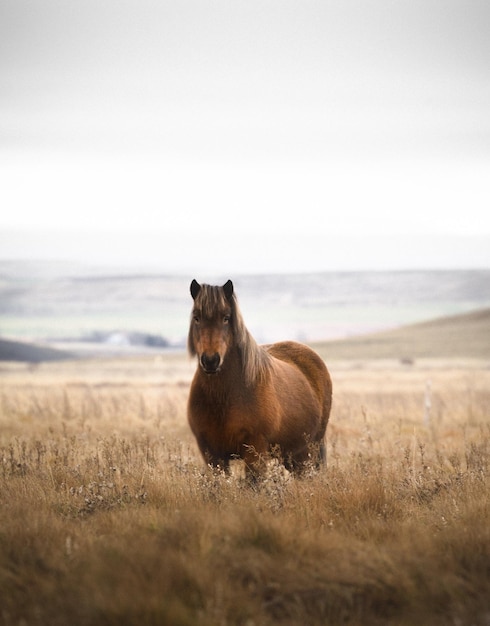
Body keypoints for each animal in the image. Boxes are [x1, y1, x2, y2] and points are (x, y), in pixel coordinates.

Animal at [188, 276, 334, 476]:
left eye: (226, 318)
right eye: (196, 317)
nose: (211, 360)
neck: (223, 398)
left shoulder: (255, 451)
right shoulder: (212, 455)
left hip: (306, 452)